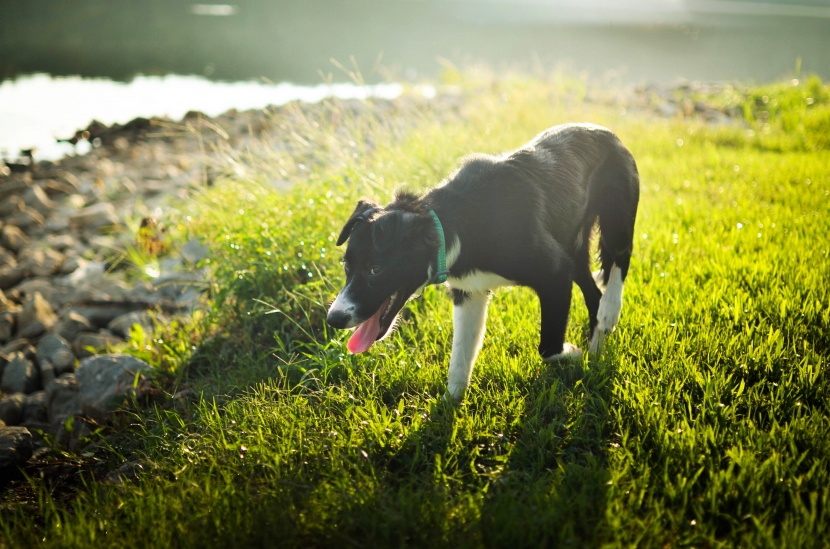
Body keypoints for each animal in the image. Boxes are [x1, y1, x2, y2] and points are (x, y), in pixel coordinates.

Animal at [328, 123, 640, 398]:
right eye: (347, 266)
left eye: (375, 269)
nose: (333, 319)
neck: (452, 227)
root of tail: (607, 132)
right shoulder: (470, 292)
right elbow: (459, 360)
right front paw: (448, 409)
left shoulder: (555, 273)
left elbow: (547, 347)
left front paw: (572, 353)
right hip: (572, 246)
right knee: (593, 293)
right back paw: (597, 349)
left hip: (616, 217)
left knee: (620, 259)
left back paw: (611, 310)